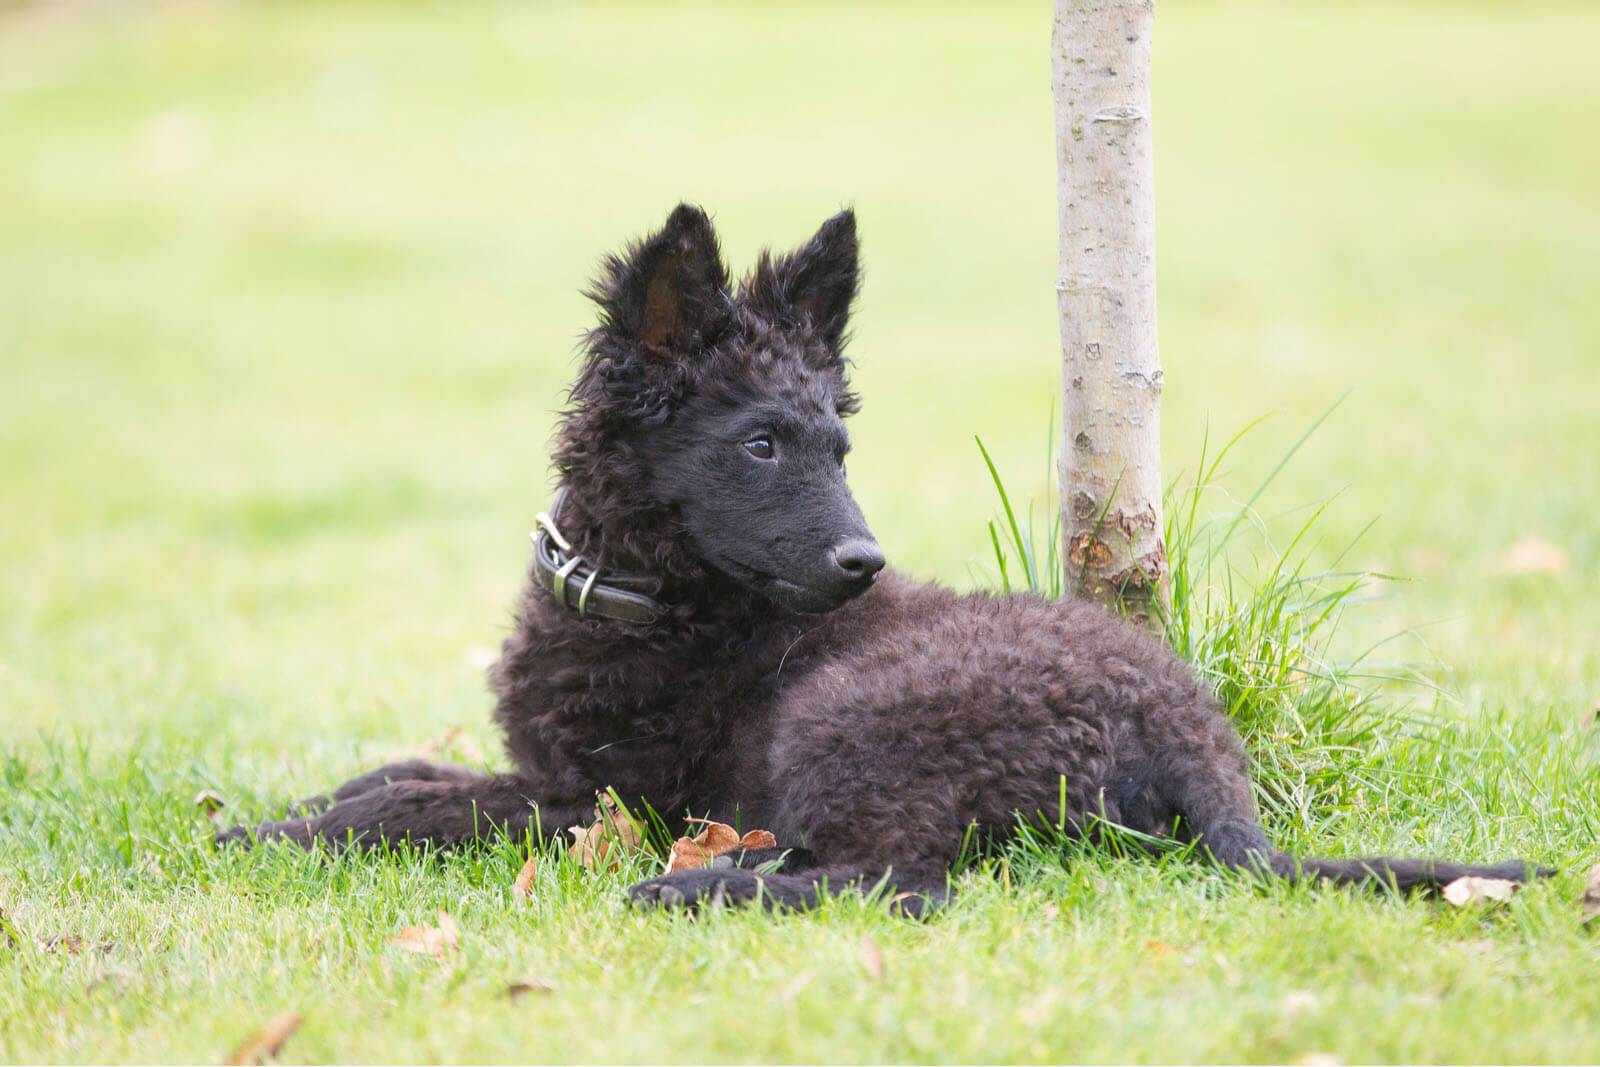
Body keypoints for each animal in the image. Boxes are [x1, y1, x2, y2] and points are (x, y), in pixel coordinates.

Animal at [222, 202, 1536, 908]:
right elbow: (393, 771)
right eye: (760, 443)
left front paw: (265, 836)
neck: (643, 597)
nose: (862, 562)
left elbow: (418, 804)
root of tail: (1187, 731)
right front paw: (280, 802)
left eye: (837, 444)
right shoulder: (552, 770)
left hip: (847, 718)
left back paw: (696, 885)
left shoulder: (603, 798)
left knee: (903, 882)